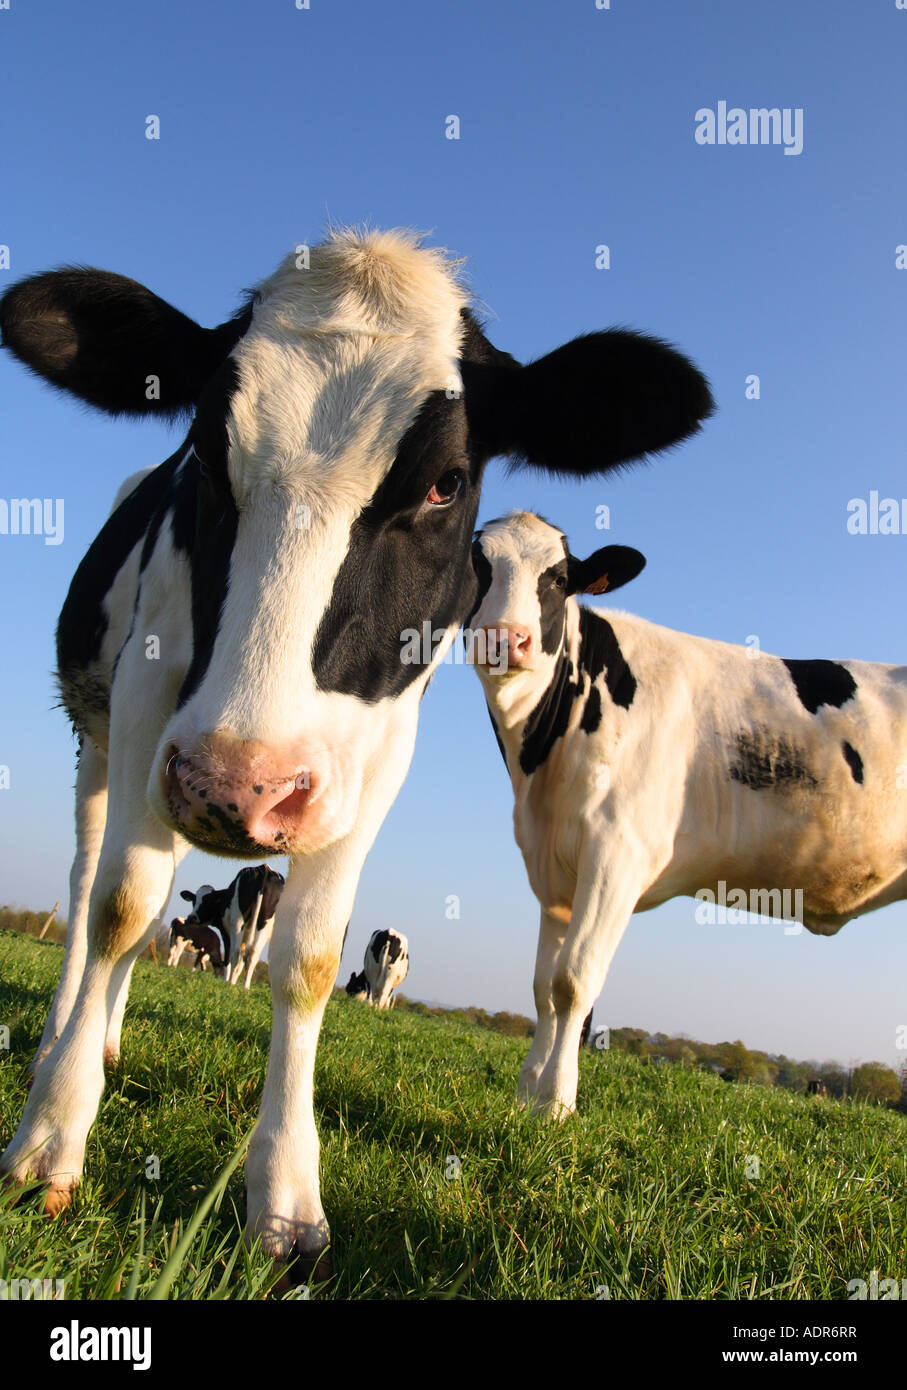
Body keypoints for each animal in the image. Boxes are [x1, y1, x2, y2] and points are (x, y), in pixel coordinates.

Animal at [0, 225, 708, 1273]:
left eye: (445, 482)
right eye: (203, 447)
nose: (238, 786)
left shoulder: (376, 752)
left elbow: (308, 958)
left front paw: (286, 1202)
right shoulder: (145, 697)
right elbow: (121, 908)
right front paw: (51, 1142)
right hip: (107, 740)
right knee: (97, 884)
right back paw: (67, 1042)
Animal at [466, 511, 905, 1117]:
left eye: (557, 579)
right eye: (479, 563)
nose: (505, 638)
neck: (539, 760)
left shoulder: (618, 853)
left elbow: (573, 981)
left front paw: (555, 1104)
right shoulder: (553, 869)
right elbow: (541, 988)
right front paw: (526, 1098)